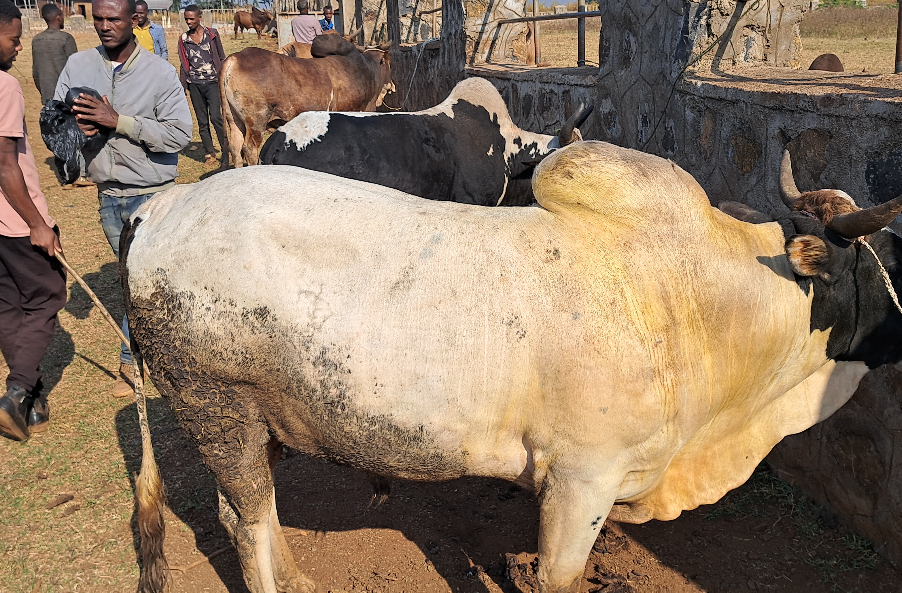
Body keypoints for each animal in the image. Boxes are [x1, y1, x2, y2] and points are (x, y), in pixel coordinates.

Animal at [123, 142, 902, 593]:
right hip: (216, 407)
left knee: (246, 512)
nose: (899, 334)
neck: (687, 298)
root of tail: (165, 206)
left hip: (258, 424)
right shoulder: (581, 481)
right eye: (871, 267)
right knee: (248, 518)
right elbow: (557, 577)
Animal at [220, 34, 394, 168]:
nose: (392, 85)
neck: (367, 69)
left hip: (234, 120)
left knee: (235, 148)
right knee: (249, 148)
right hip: (256, 121)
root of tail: (235, 58)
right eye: (389, 62)